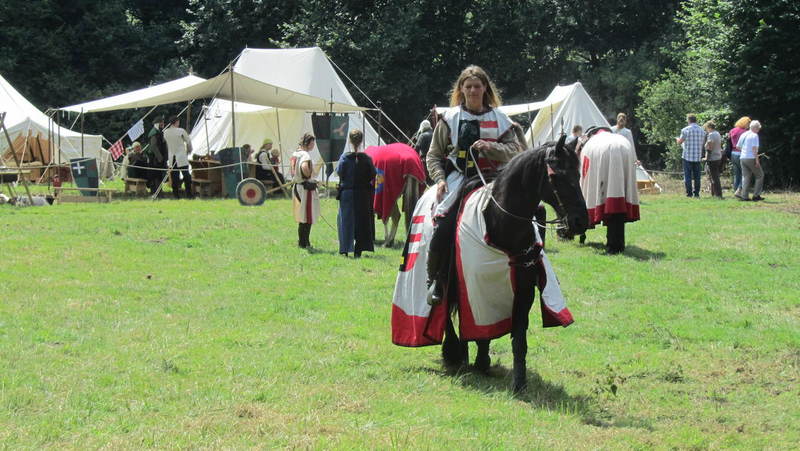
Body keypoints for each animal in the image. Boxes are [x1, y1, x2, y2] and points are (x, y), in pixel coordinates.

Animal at [439, 134, 588, 392]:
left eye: (577, 173)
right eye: (556, 176)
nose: (580, 221)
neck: (502, 225)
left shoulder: (523, 292)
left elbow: (518, 338)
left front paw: (518, 381)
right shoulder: (472, 286)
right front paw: (472, 358)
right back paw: (454, 353)